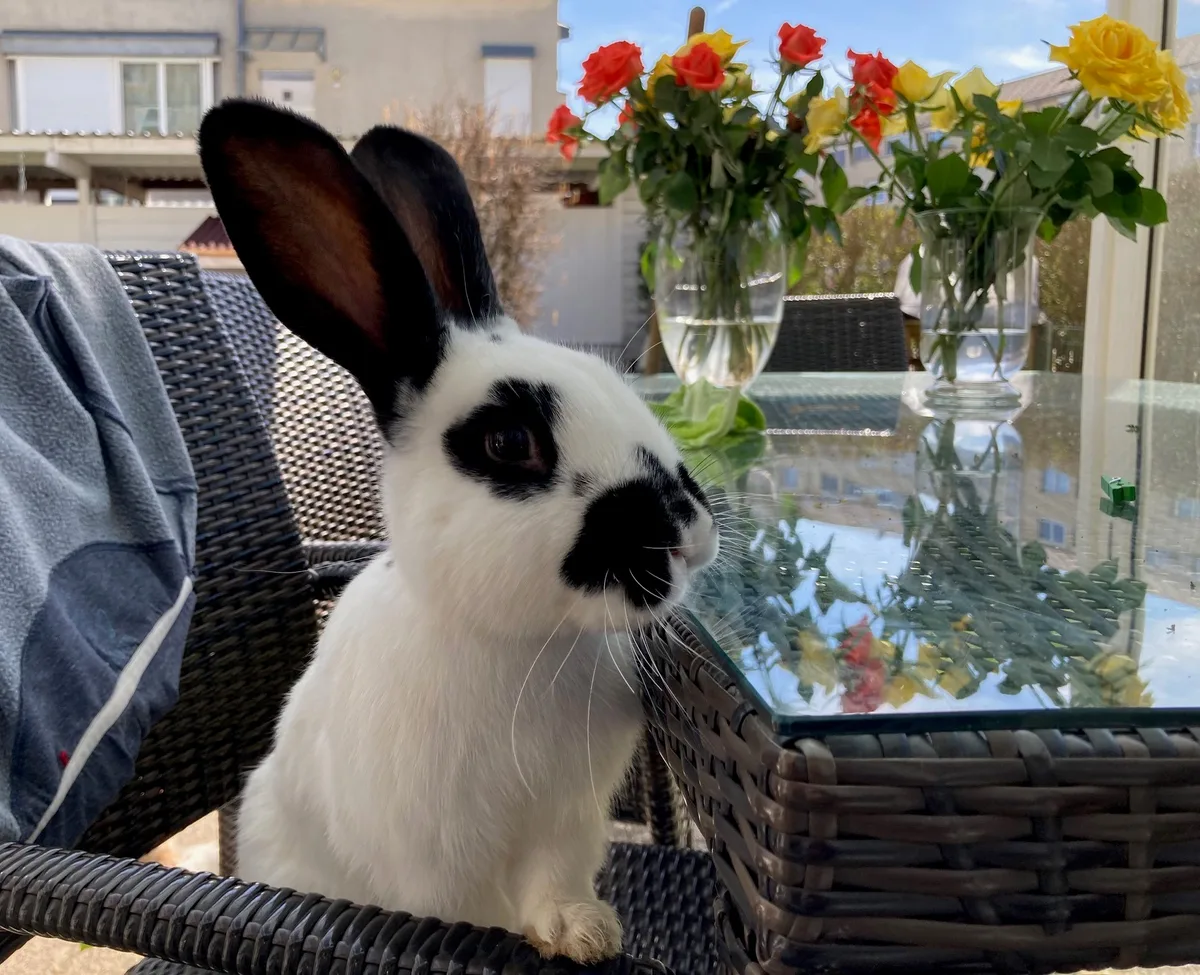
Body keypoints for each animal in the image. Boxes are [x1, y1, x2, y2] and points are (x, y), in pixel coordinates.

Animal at [198, 99, 719, 965]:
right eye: (509, 442)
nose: (687, 530)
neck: (516, 645)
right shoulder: (432, 861)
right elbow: (464, 913)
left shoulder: (567, 822)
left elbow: (555, 882)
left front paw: (584, 933)